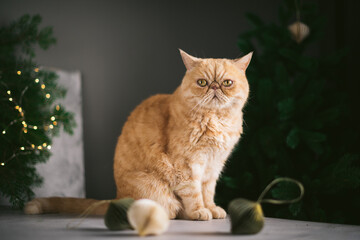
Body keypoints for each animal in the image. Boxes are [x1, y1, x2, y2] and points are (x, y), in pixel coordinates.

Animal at [25, 49, 252, 220]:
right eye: (202, 82)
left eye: (227, 83)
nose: (214, 86)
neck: (216, 120)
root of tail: (117, 197)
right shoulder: (187, 166)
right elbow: (194, 193)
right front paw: (199, 211)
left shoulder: (214, 166)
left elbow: (208, 192)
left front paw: (212, 209)